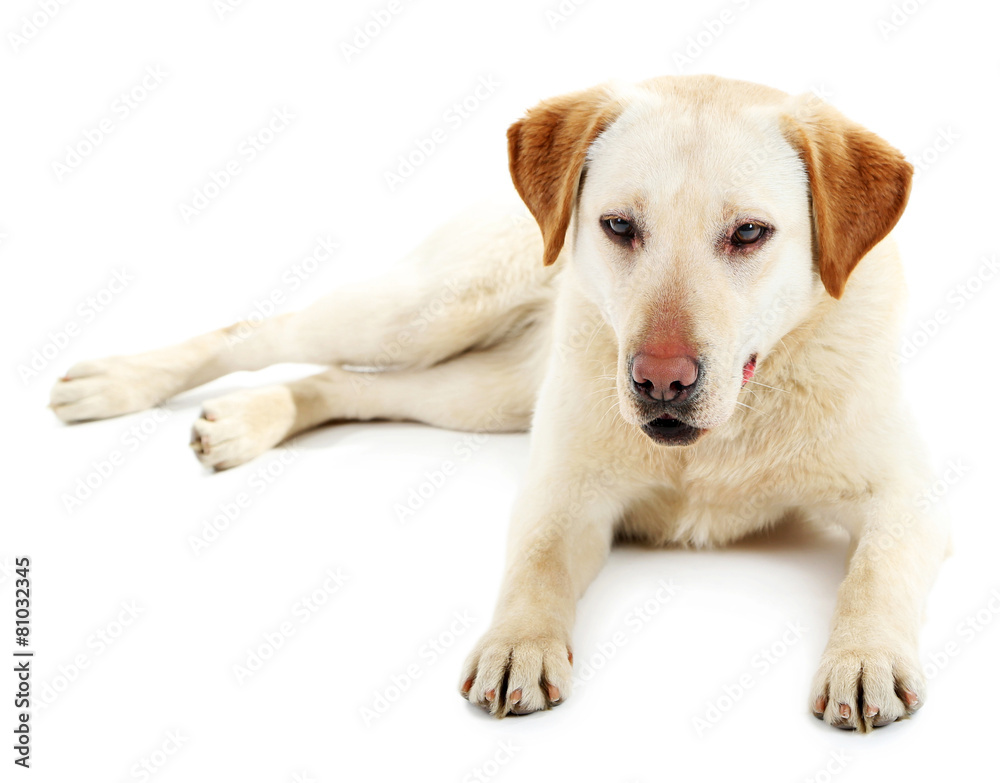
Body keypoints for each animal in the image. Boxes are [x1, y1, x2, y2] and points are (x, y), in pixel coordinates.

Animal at [52, 76, 944, 732]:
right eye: (618, 225)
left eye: (750, 234)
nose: (659, 379)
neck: (720, 437)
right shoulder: (565, 490)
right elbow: (536, 562)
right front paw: (519, 642)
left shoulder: (905, 496)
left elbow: (879, 569)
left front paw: (864, 658)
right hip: (422, 315)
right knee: (262, 331)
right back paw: (121, 381)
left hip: (483, 393)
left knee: (350, 384)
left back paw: (247, 418)